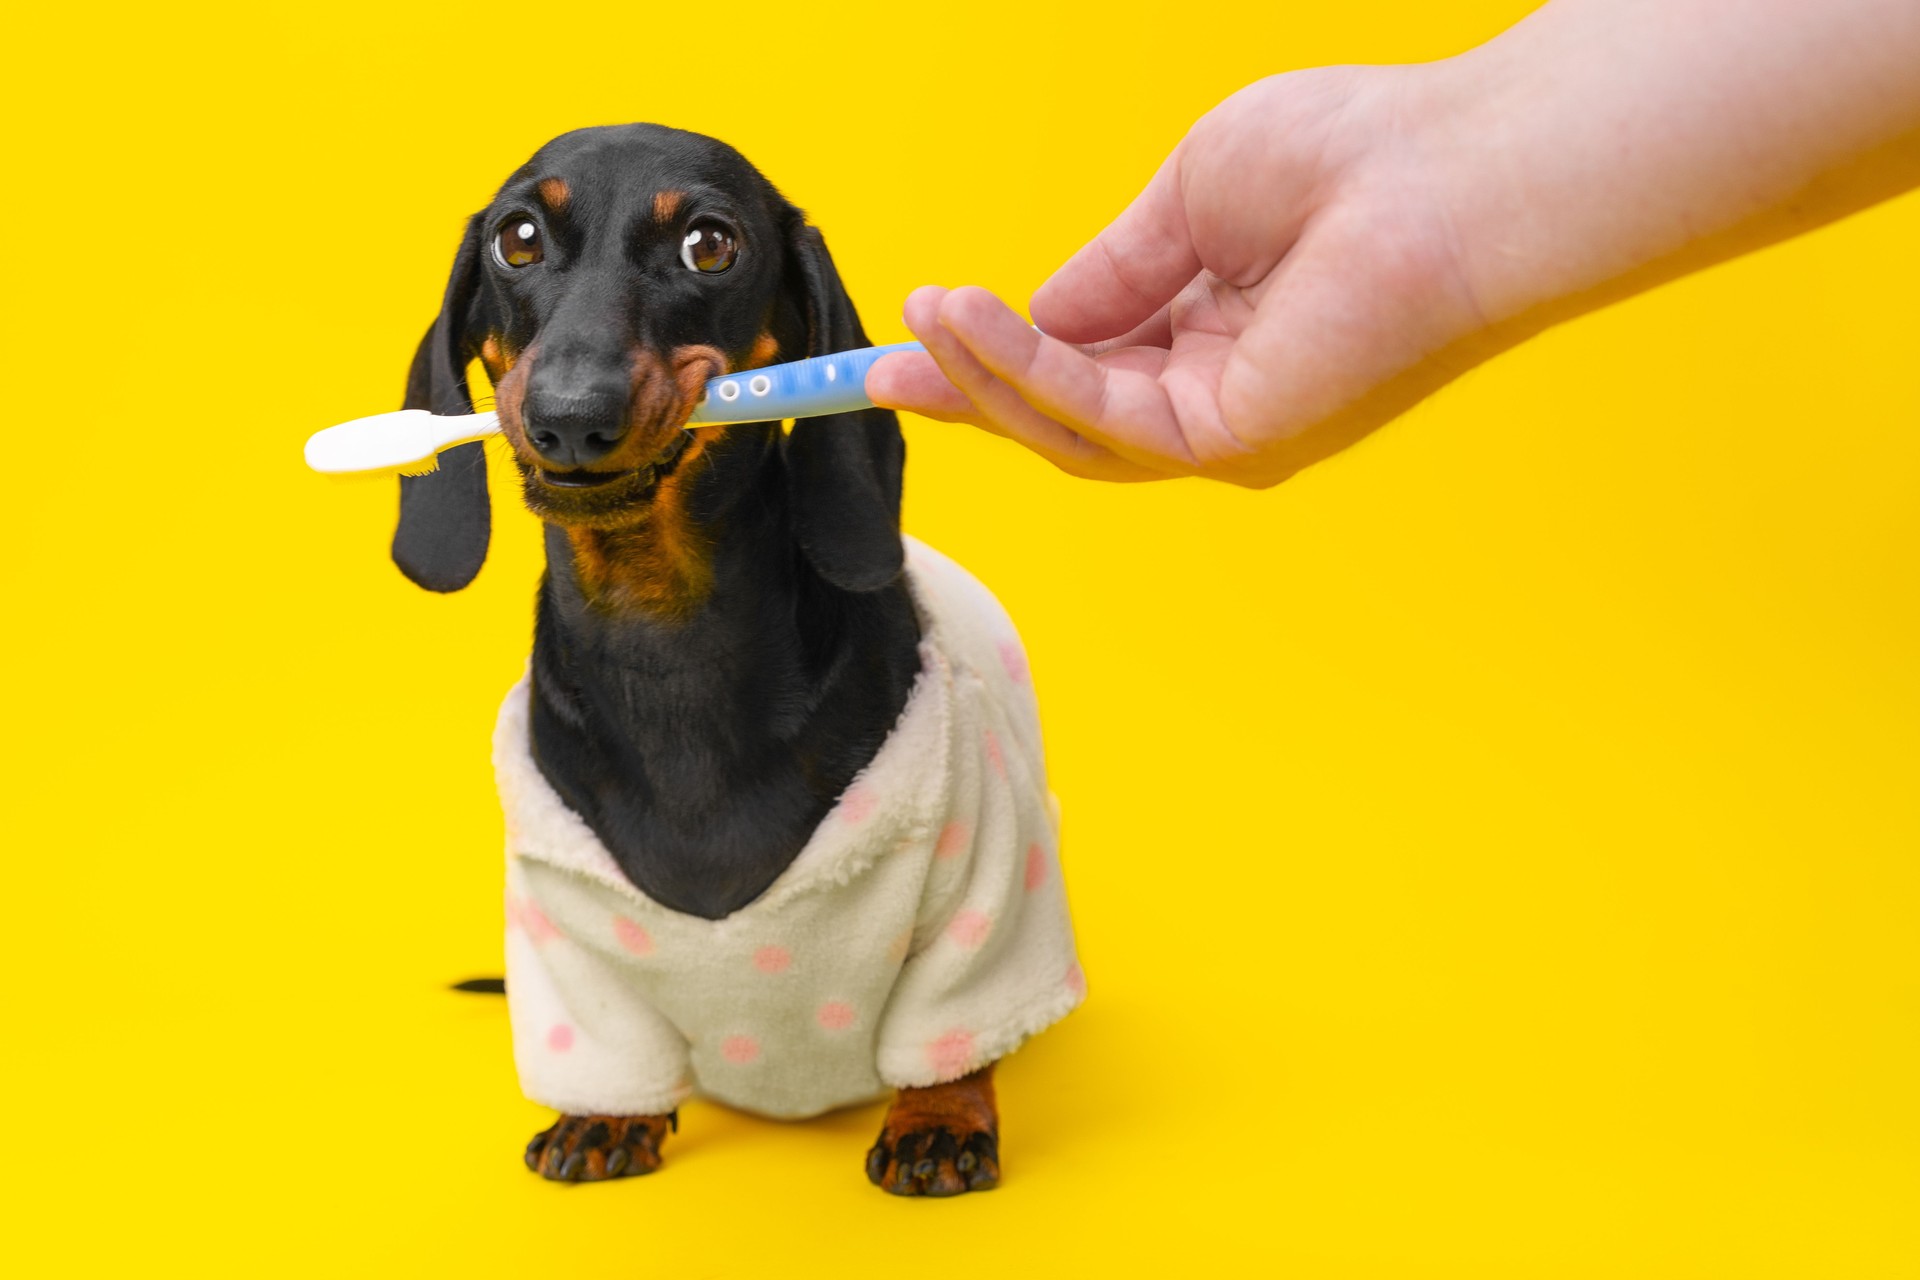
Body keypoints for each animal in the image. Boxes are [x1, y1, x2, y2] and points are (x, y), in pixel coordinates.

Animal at [389, 124, 1082, 1197]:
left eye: (709, 245)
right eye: (518, 237)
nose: (569, 416)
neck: (663, 637)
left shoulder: (979, 891)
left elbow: (952, 1030)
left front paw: (940, 1119)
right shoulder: (570, 929)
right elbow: (607, 1046)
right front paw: (604, 1116)